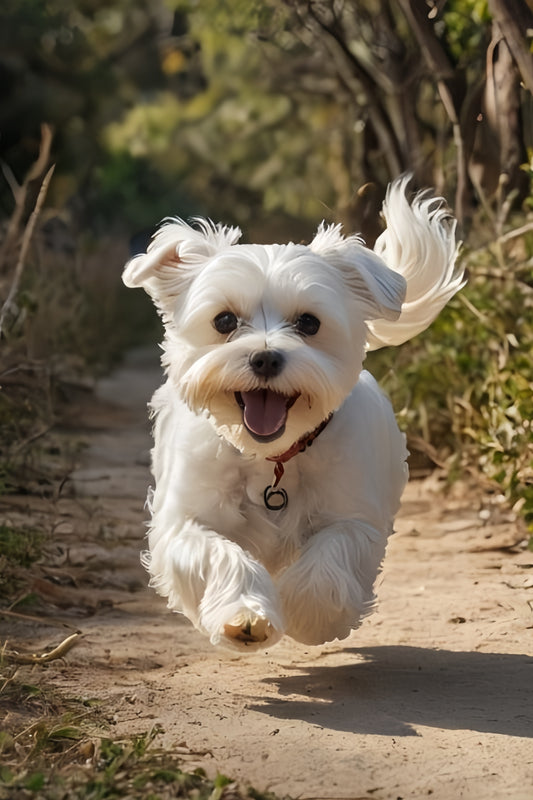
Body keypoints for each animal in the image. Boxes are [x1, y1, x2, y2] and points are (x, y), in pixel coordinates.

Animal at [122, 177, 464, 648]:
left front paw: (308, 614)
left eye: (309, 323)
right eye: (224, 321)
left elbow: (329, 558)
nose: (265, 358)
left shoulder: (353, 517)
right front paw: (245, 615)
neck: (270, 458)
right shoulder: (185, 522)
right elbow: (220, 554)